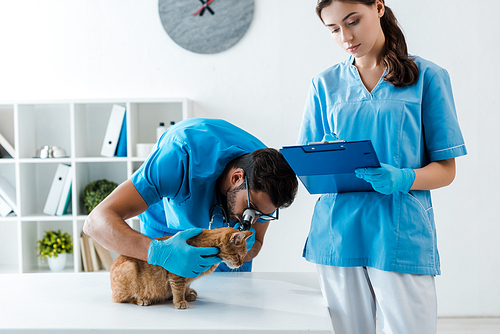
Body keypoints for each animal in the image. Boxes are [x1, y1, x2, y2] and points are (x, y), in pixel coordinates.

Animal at [109, 228, 250, 310]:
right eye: (239, 256)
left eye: (243, 256)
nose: (240, 264)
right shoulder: (177, 274)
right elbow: (178, 289)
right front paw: (179, 301)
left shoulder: (188, 276)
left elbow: (186, 287)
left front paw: (187, 295)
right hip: (129, 268)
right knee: (120, 299)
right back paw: (142, 299)